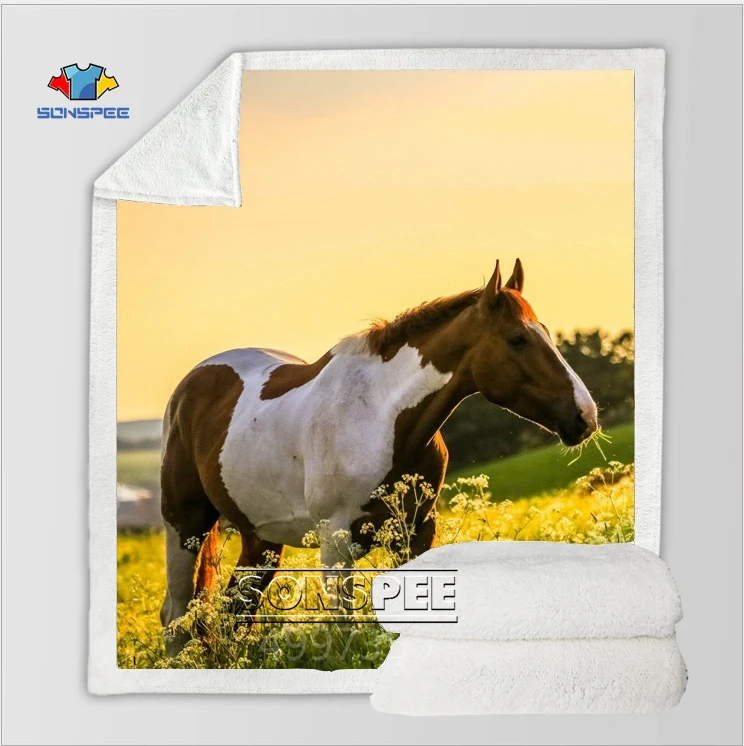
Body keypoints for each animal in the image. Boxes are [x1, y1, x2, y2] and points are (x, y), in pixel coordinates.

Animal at [159, 259, 598, 650]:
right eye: (518, 339)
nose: (585, 416)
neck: (381, 414)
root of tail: (190, 385)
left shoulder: (418, 530)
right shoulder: (335, 541)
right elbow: (345, 627)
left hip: (260, 539)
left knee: (236, 609)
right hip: (185, 526)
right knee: (176, 613)